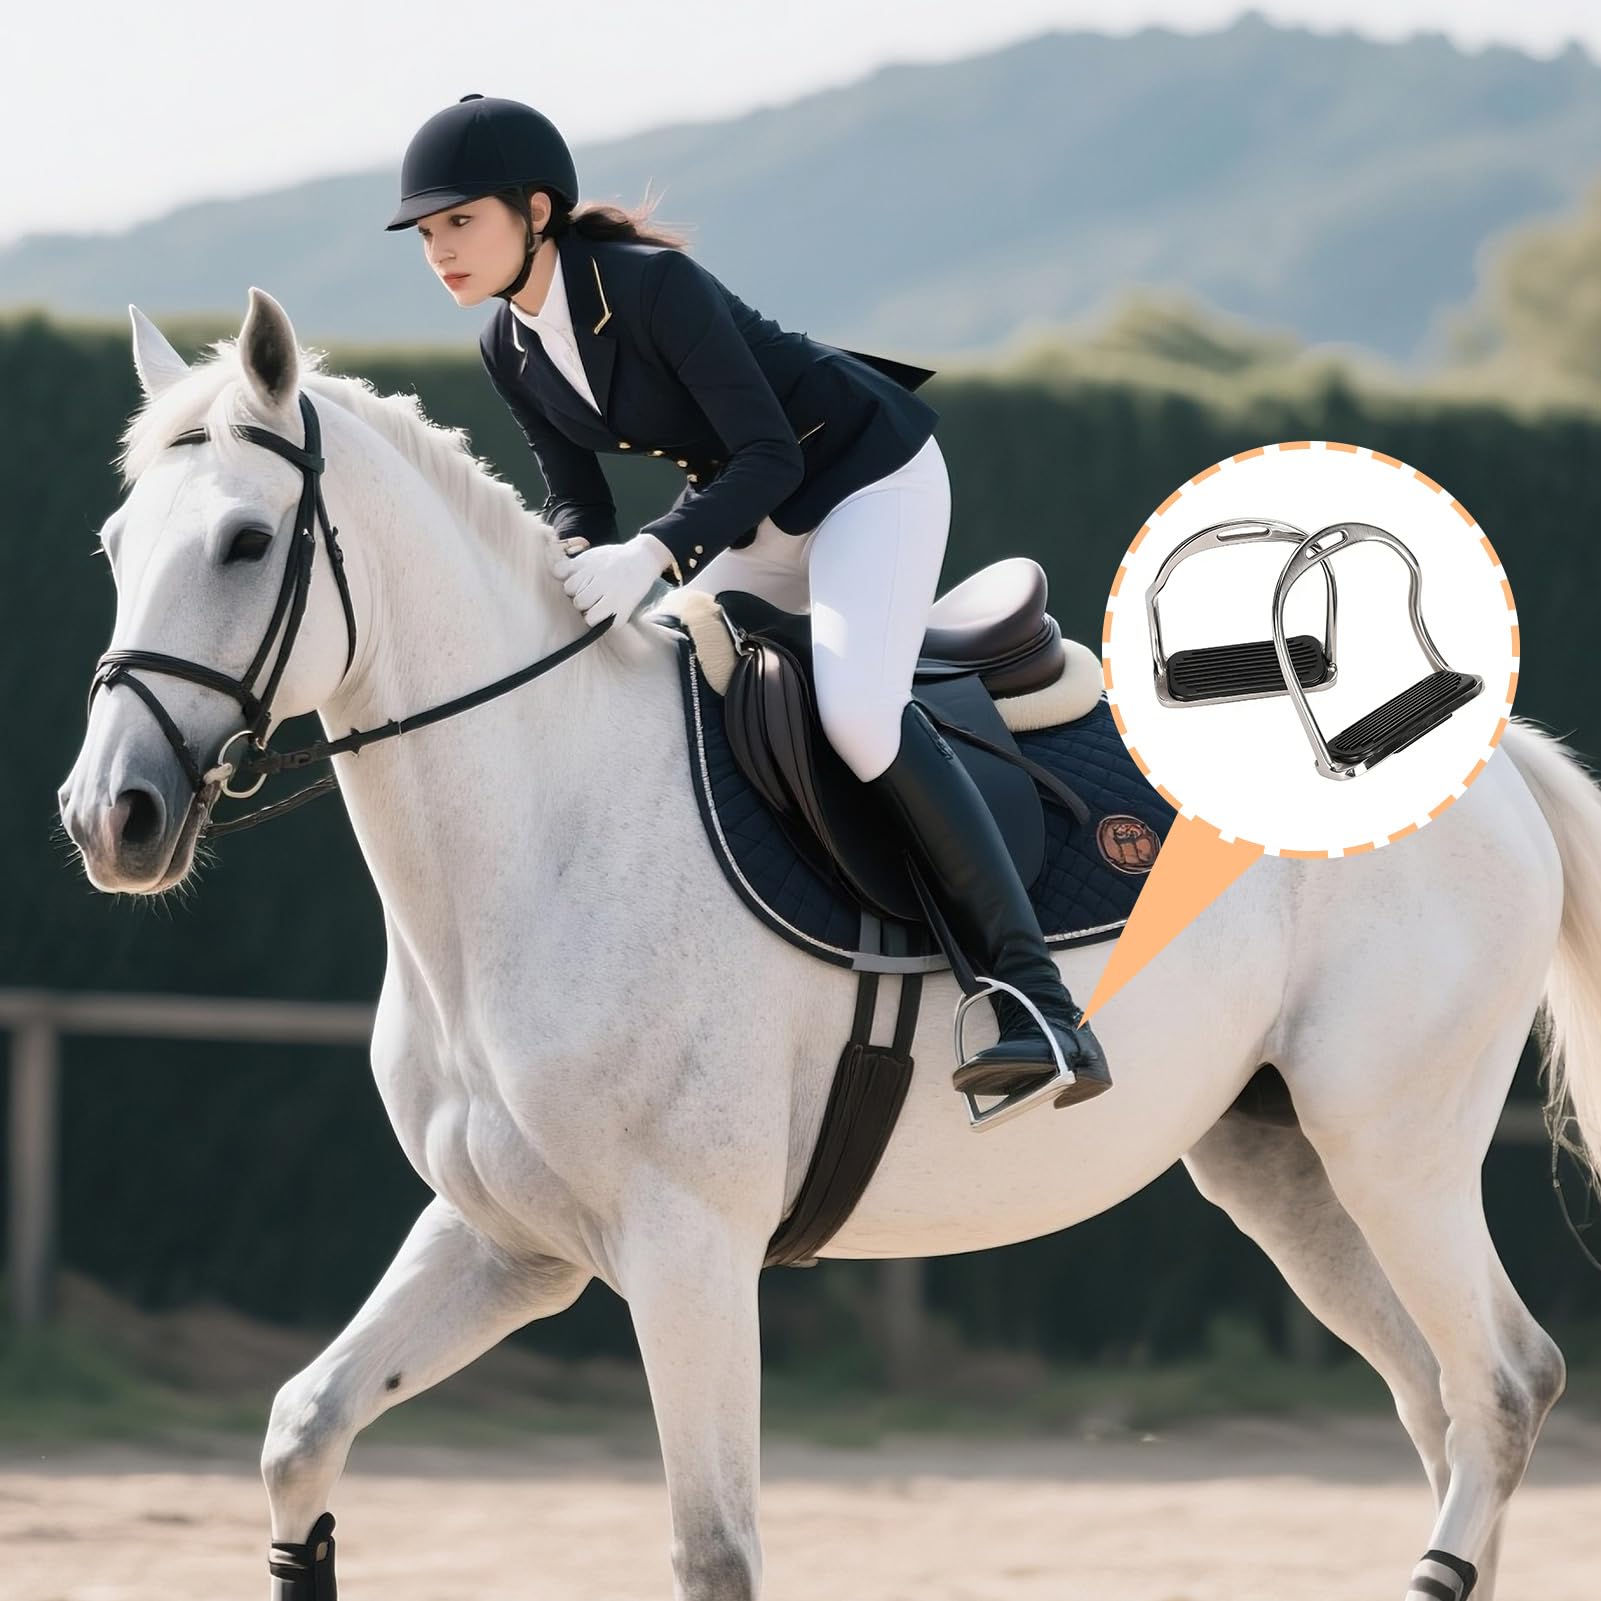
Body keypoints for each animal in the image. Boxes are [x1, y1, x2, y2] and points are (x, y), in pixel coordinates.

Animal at [56, 288, 1601, 1601]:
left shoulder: (685, 1248)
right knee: (1436, 1398)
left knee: (1501, 1382)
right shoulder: (507, 1240)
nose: (109, 817)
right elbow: (302, 1430)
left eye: (247, 542)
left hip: (1387, 1142)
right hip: (1282, 1163)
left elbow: (714, 1551)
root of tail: (1487, 760)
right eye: (115, 547)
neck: (542, 821)